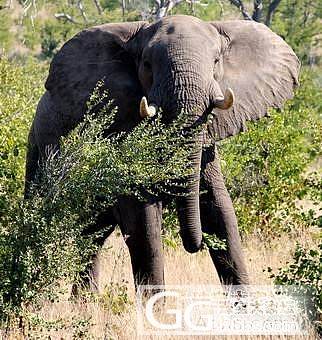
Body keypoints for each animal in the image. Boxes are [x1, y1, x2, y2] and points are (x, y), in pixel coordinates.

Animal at [24, 14, 300, 290]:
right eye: (147, 64)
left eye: (216, 62)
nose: (195, 245)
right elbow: (143, 224)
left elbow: (220, 211)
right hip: (39, 147)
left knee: (91, 238)